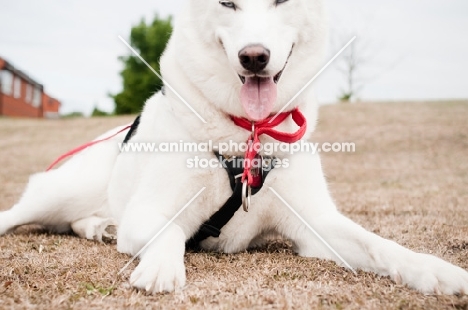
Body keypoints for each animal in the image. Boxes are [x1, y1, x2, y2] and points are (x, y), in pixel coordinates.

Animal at [0, 0, 468, 296]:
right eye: (227, 3)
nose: (254, 57)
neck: (248, 133)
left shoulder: (318, 226)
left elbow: (380, 245)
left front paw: (434, 270)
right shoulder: (146, 214)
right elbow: (171, 230)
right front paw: (161, 266)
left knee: (81, 221)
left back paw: (98, 227)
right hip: (61, 193)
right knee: (21, 213)